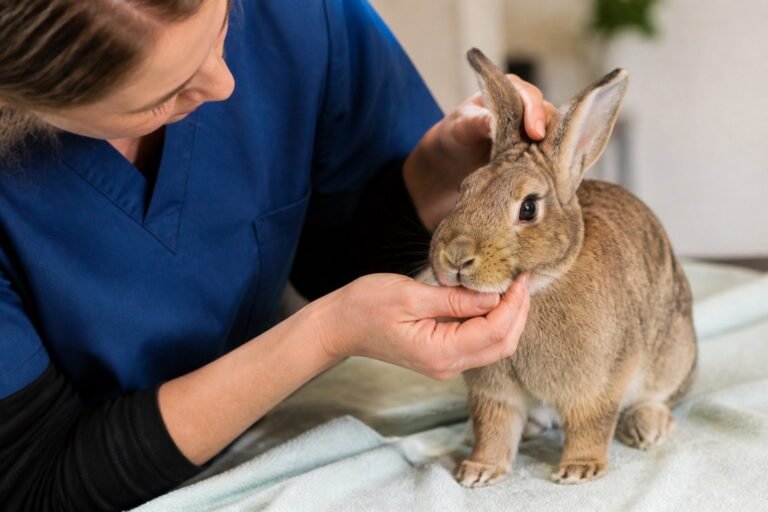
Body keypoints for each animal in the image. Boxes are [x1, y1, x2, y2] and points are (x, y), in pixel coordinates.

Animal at [429, 49, 697, 487]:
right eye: (463, 190)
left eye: (528, 208)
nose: (456, 257)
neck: (544, 282)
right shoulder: (494, 394)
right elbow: (493, 429)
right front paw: (479, 472)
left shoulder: (596, 385)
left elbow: (590, 423)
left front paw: (578, 470)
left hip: (673, 351)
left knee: (662, 396)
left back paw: (647, 427)